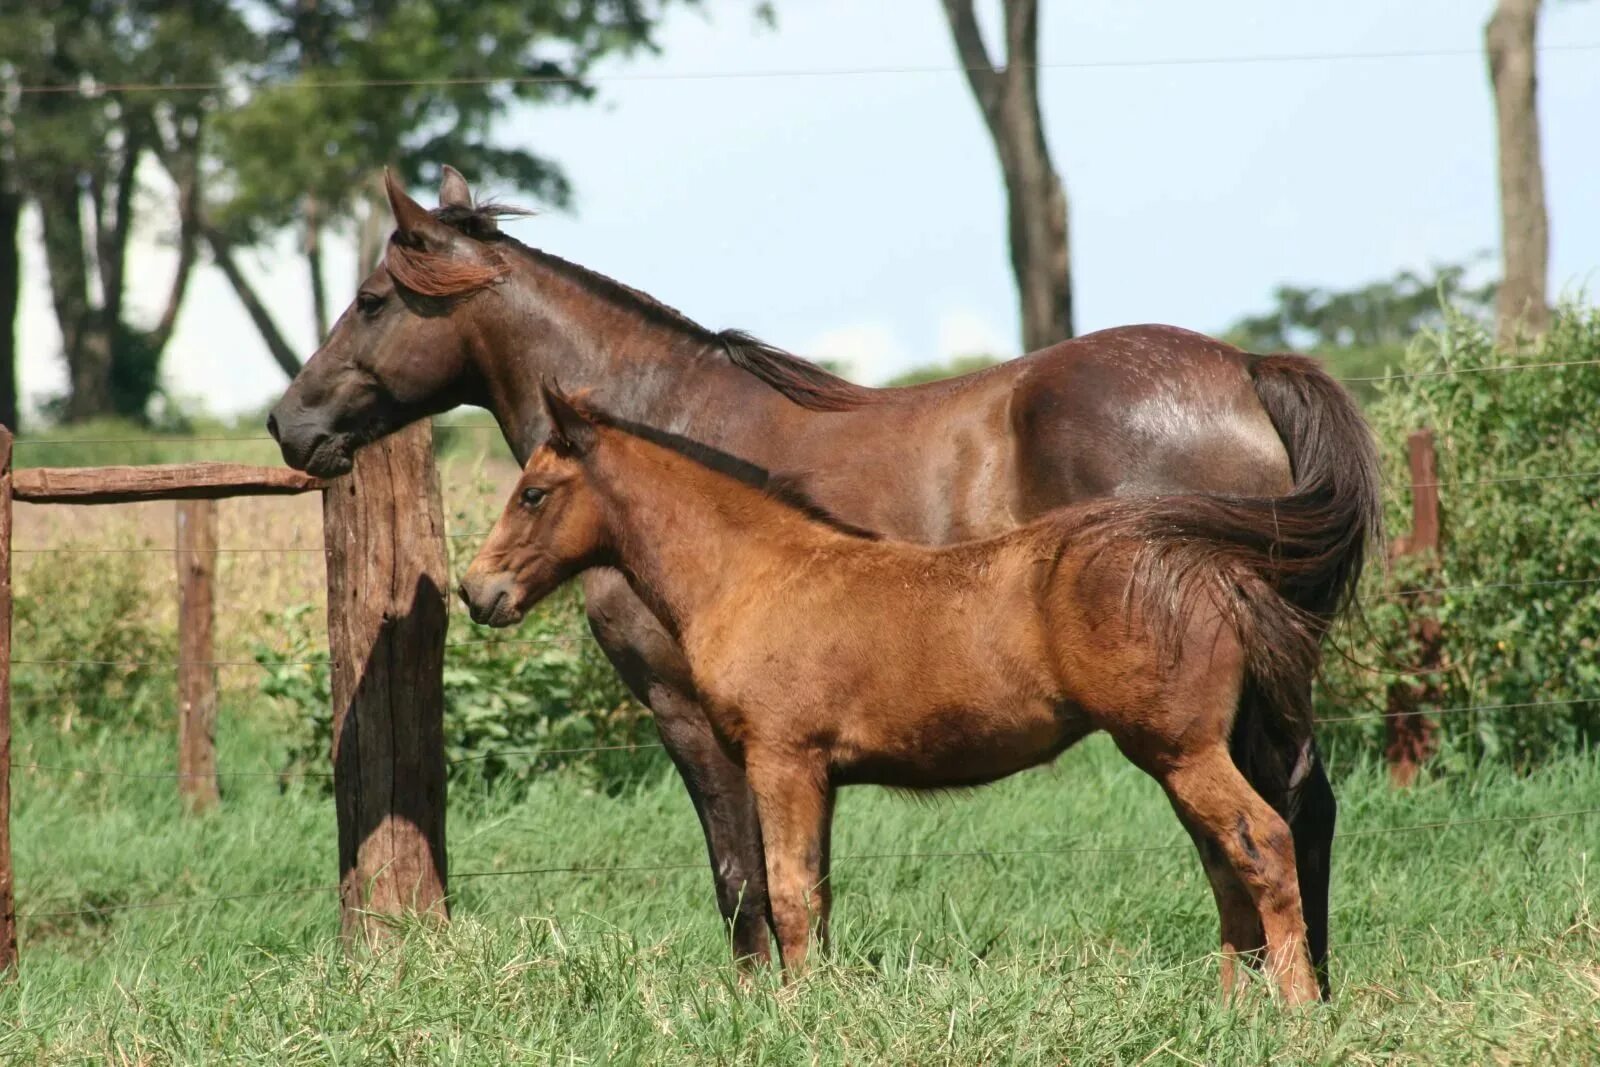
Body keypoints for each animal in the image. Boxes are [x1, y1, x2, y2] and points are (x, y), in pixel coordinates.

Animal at [464, 388, 1337, 1004]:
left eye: (533, 493)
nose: (478, 592)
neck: (753, 573)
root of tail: (1213, 568)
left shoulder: (781, 760)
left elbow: (786, 893)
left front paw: (797, 1015)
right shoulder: (816, 775)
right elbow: (814, 895)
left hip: (1181, 749)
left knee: (1262, 843)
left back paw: (1294, 1010)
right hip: (1183, 756)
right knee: (1225, 864)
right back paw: (1229, 1010)